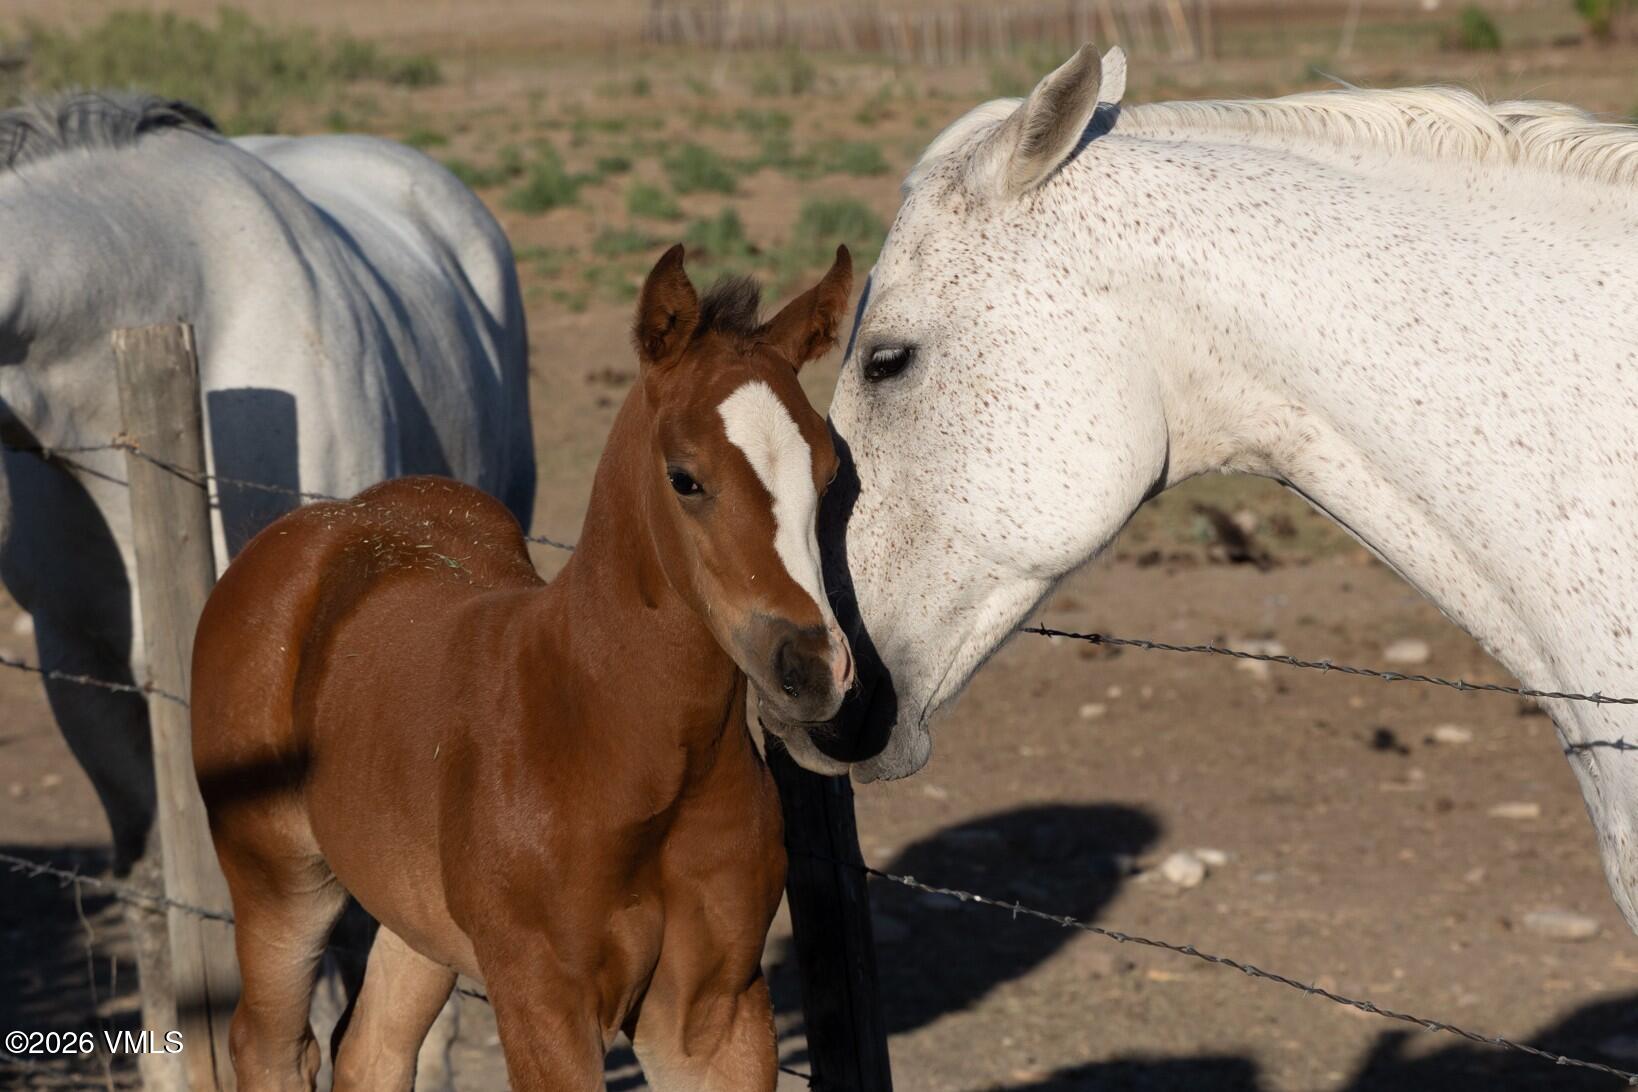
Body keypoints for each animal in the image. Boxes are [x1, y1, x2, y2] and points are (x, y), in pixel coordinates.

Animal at [189, 244, 855, 1091]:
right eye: (685, 477)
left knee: (370, 1048)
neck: (620, 744)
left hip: (417, 918)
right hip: (279, 880)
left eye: (830, 474)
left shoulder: (715, 1015)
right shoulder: (545, 1003)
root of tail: (306, 529)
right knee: (271, 1045)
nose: (812, 666)